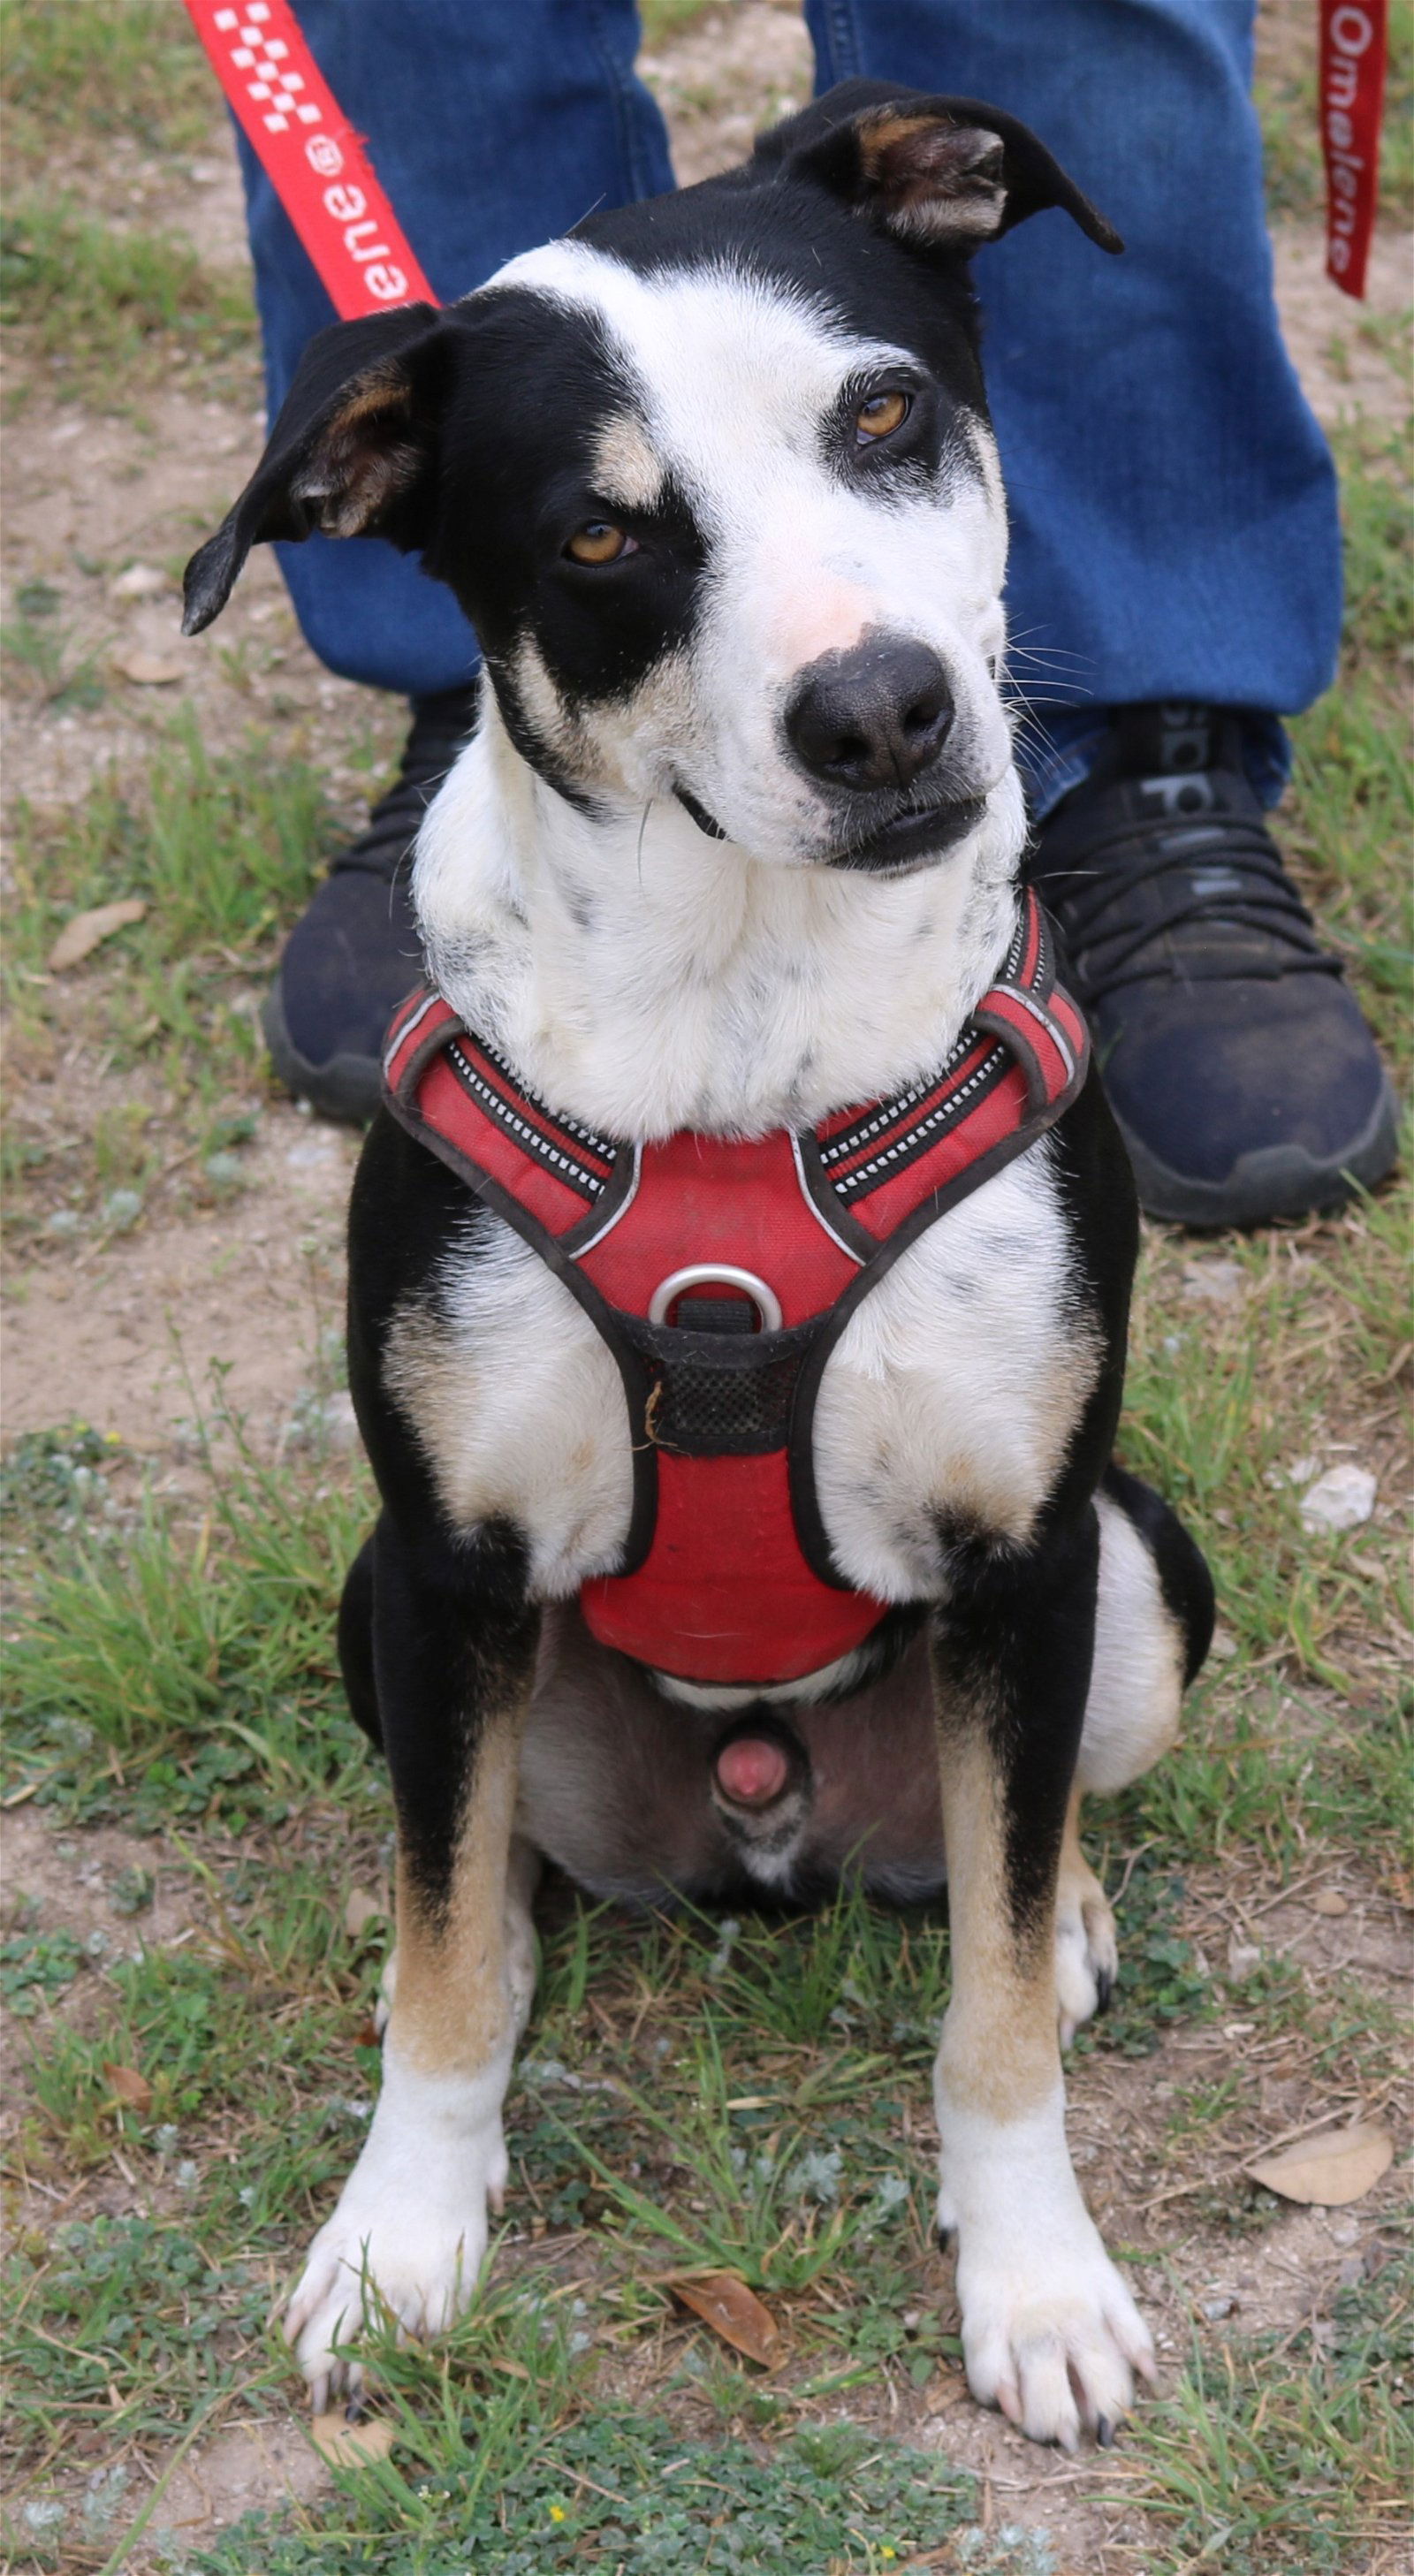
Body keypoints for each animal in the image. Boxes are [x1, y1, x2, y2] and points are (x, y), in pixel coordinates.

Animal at [187, 85, 1210, 2452]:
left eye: (884, 410)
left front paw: (1034, 2281)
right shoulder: (448, 1552)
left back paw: (1068, 1903)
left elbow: (986, 2001)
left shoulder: (1024, 1543)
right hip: (382, 1616)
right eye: (594, 537)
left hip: (1136, 1571)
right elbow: (433, 1956)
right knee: (477, 1867)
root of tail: (762, 1820)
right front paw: (396, 2235)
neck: (747, 1025)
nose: (882, 711)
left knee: (1014, 1838)